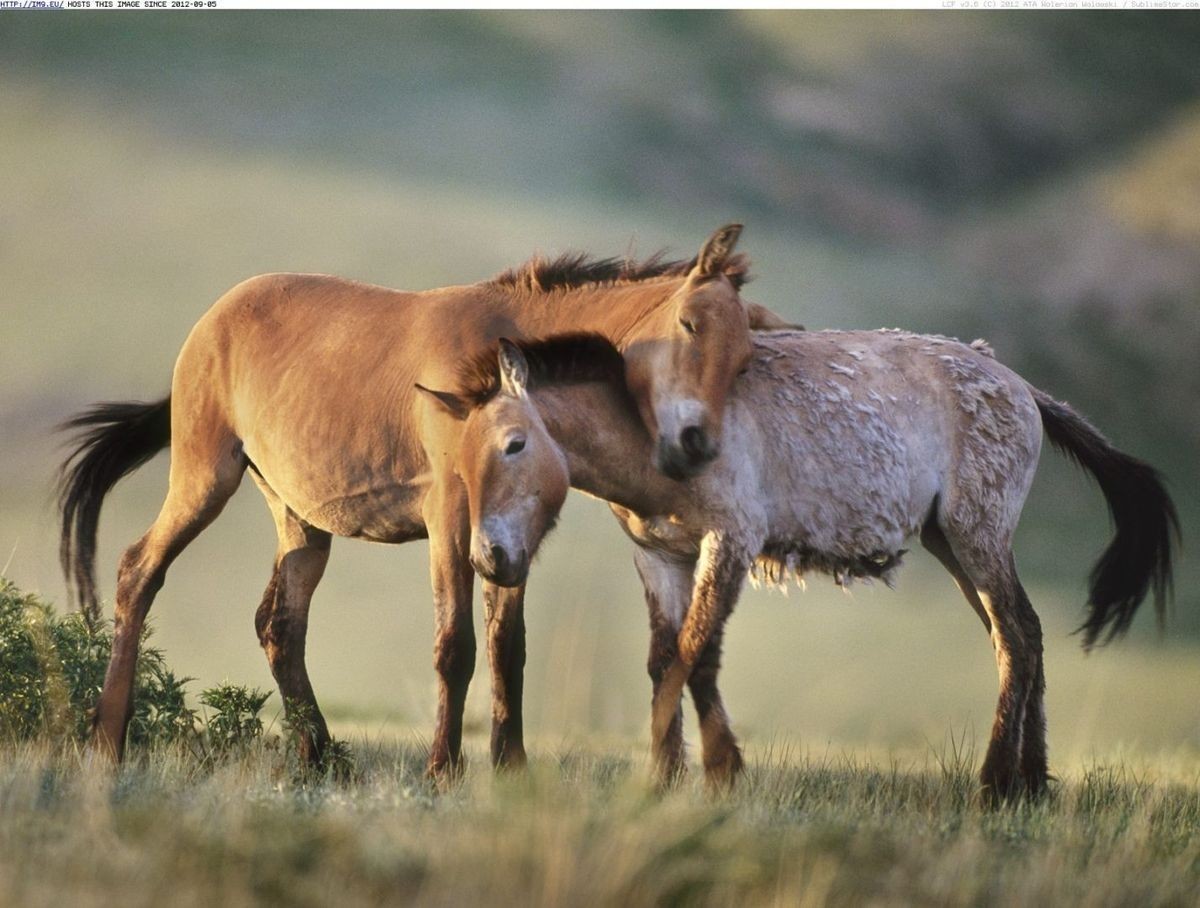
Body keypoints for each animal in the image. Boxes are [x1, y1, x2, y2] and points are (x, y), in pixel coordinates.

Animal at [56, 225, 792, 772]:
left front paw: (510, 767)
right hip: (205, 477)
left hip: (299, 519)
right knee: (138, 571)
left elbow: (507, 646)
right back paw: (108, 740)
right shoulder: (450, 517)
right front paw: (444, 768)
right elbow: (455, 644)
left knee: (279, 625)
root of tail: (214, 319)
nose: (696, 445)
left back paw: (324, 759)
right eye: (690, 325)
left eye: (744, 357)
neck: (490, 369)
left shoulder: (509, 534)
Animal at [420, 328, 1171, 801]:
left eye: (515, 444)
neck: (655, 423)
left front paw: (717, 770)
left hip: (976, 537)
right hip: (952, 545)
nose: (490, 558)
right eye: (460, 460)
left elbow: (694, 654)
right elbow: (670, 660)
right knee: (1024, 636)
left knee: (1015, 637)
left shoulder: (729, 543)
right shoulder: (661, 556)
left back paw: (994, 784)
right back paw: (1032, 783)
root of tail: (1022, 388)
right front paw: (672, 776)